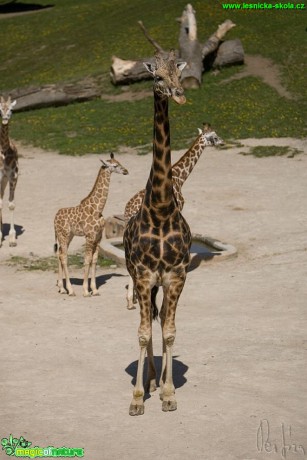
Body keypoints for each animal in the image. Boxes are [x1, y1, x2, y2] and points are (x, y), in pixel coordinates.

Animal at [54, 154, 129, 298]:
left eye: (119, 162)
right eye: (115, 165)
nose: (126, 171)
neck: (97, 209)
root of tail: (54, 218)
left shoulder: (98, 237)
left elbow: (94, 260)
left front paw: (94, 290)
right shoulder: (89, 236)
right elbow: (87, 260)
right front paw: (85, 291)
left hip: (69, 235)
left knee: (60, 254)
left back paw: (61, 288)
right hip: (63, 235)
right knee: (64, 256)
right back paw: (70, 290)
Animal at [125, 122, 224, 310]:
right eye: (214, 136)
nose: (223, 142)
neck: (179, 177)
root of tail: (127, 210)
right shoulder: (178, 211)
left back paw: (131, 300)